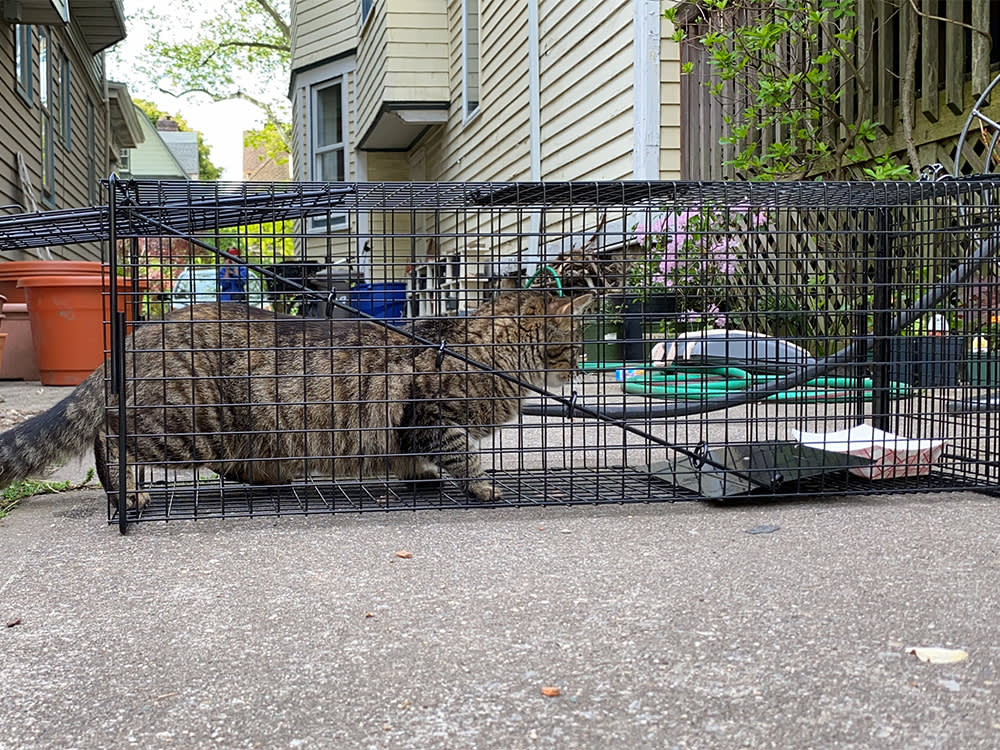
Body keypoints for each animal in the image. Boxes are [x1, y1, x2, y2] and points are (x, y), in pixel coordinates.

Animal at [0, 290, 592, 508]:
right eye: (576, 344)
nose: (584, 366)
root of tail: (135, 334)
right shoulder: (428, 414)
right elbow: (461, 452)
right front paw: (482, 484)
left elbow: (419, 460)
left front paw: (419, 476)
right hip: (186, 429)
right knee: (107, 436)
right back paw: (128, 496)